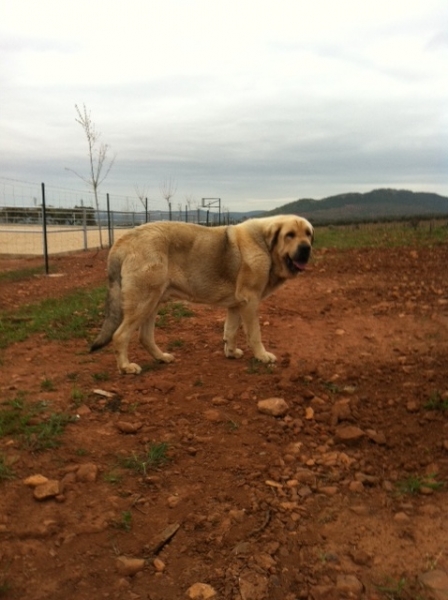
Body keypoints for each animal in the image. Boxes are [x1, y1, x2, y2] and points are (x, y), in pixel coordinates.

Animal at [90, 214, 316, 376]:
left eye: (308, 234)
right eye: (289, 235)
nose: (306, 248)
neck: (266, 246)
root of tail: (123, 240)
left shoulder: (236, 305)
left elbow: (230, 331)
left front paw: (231, 353)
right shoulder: (249, 302)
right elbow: (254, 334)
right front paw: (262, 356)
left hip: (152, 301)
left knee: (144, 337)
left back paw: (161, 357)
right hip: (143, 302)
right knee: (120, 335)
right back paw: (126, 367)